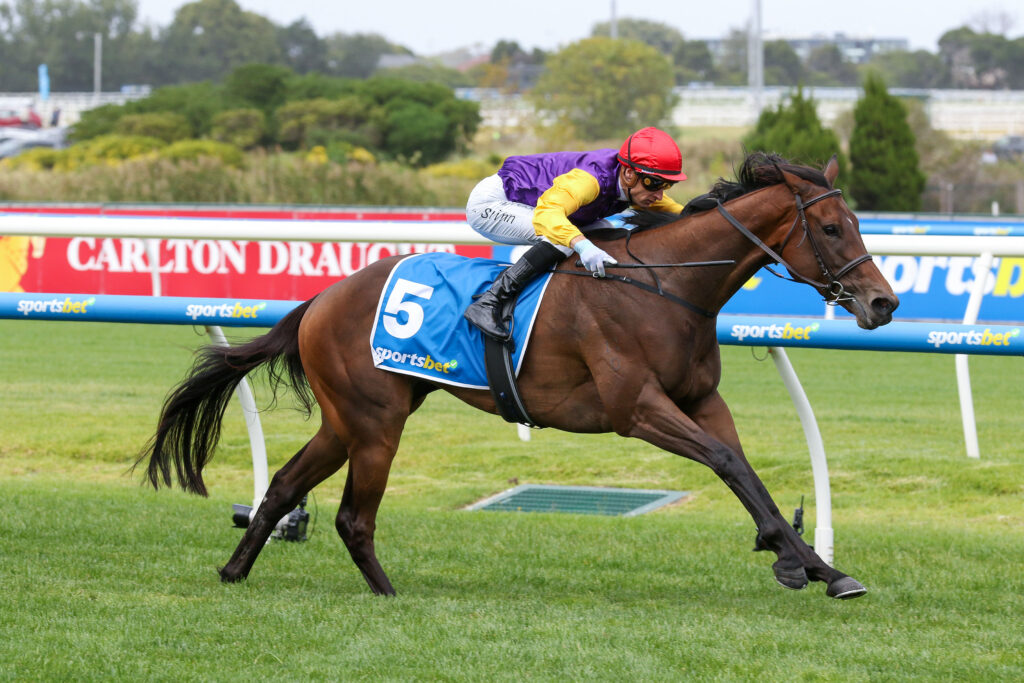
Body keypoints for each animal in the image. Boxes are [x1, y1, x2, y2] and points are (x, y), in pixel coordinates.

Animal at [137, 151, 898, 599]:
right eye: (833, 228)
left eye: (859, 224)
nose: (884, 303)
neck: (666, 287)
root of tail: (320, 299)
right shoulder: (637, 408)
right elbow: (726, 463)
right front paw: (799, 561)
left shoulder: (700, 399)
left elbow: (744, 468)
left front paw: (817, 564)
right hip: (375, 421)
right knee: (354, 515)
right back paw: (387, 592)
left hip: (349, 418)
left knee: (286, 487)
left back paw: (235, 569)